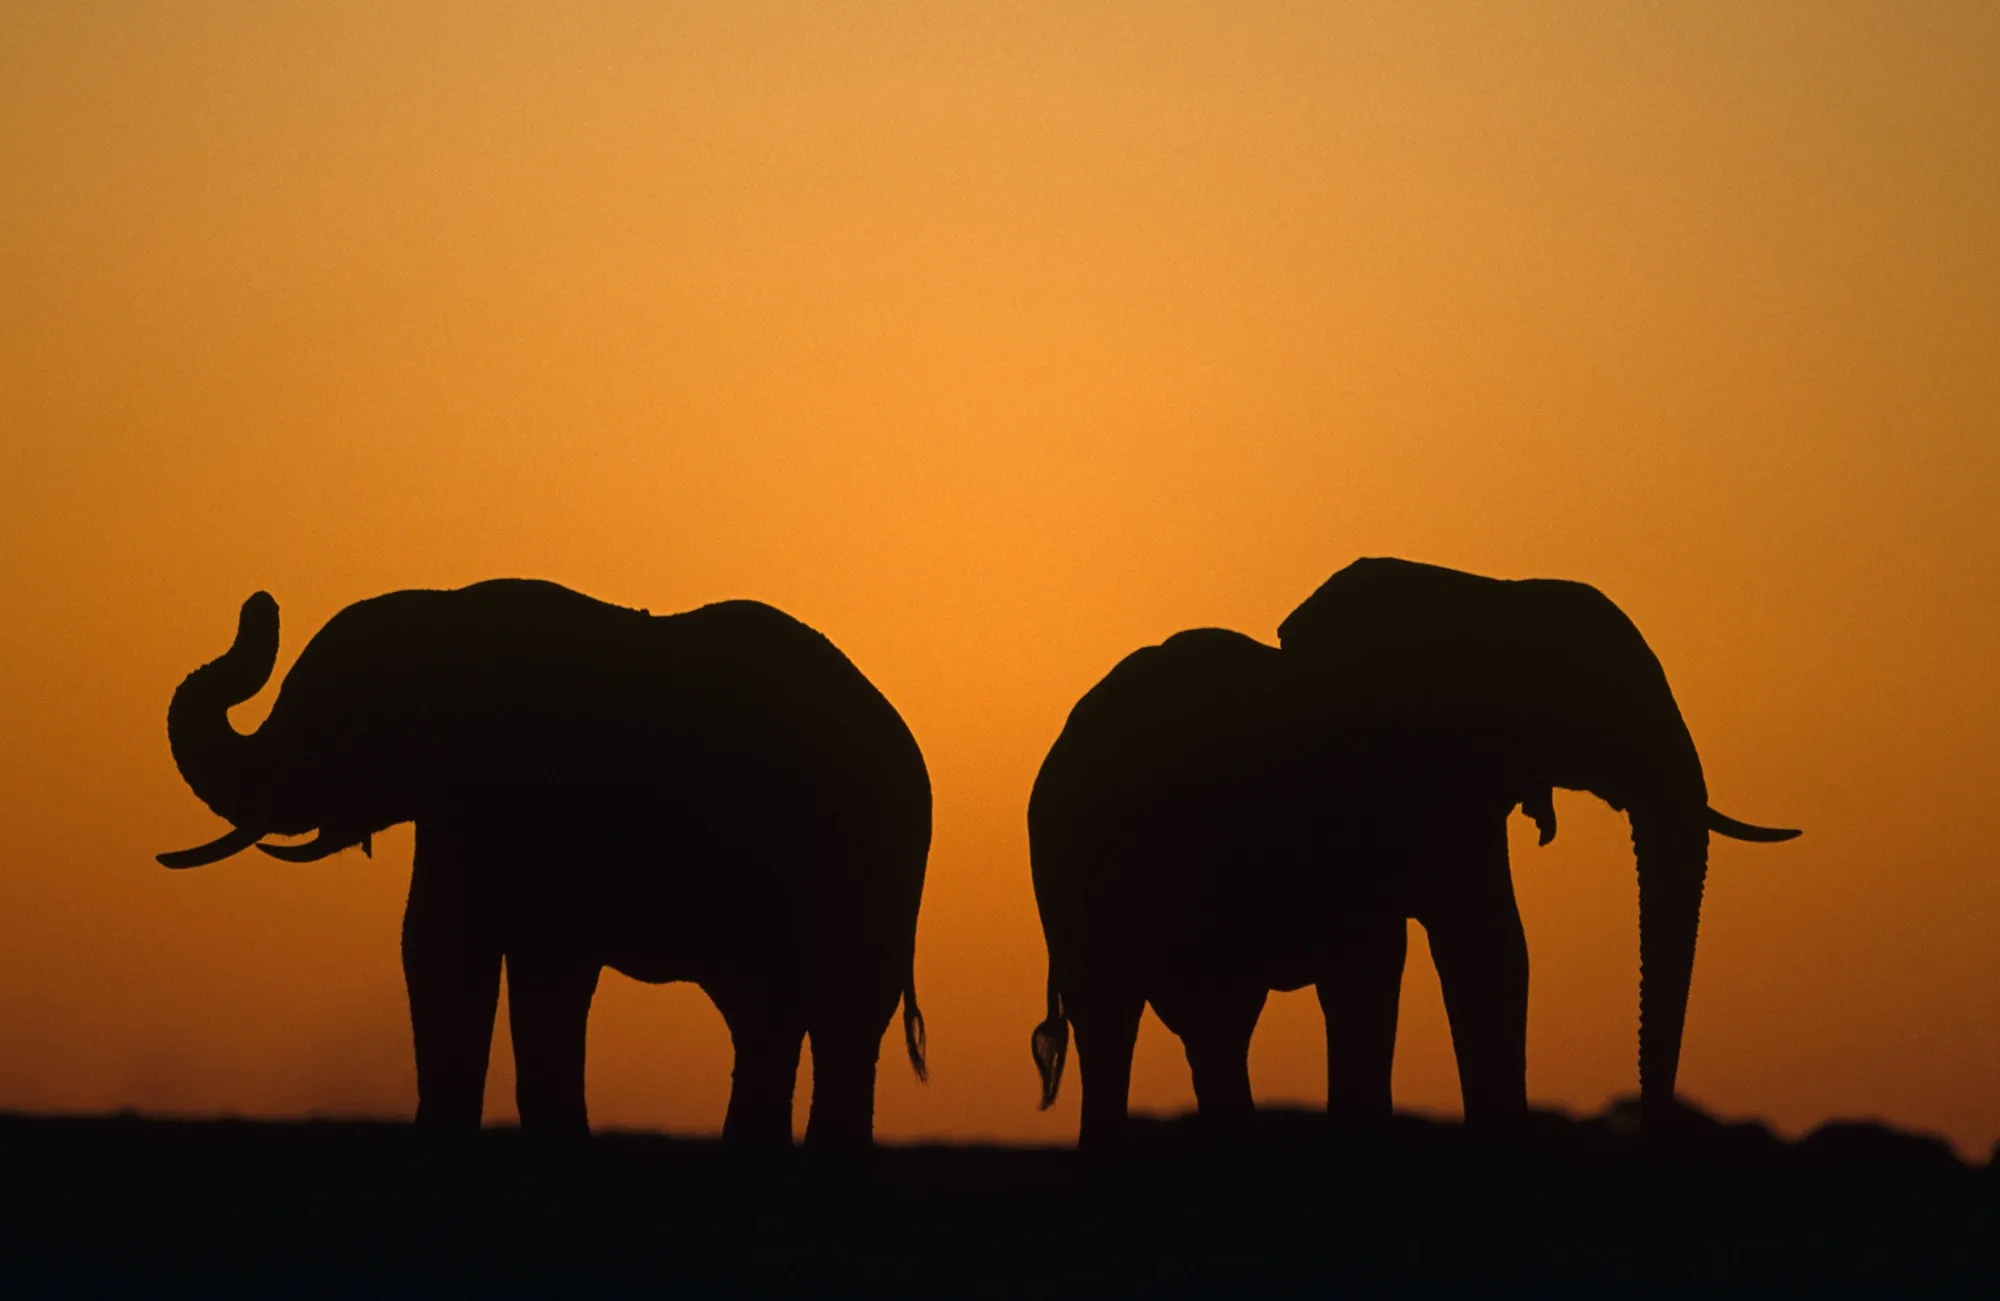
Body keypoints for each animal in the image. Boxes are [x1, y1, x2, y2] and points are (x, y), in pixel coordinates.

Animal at [159, 579, 930, 1147]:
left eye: (336, 716)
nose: (261, 603)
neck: (448, 611)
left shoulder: (543, 811)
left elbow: (541, 967)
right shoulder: (461, 813)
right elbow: (439, 949)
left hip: (870, 868)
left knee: (841, 1022)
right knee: (764, 1018)